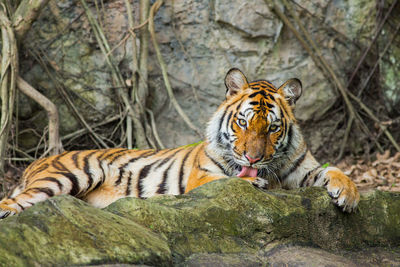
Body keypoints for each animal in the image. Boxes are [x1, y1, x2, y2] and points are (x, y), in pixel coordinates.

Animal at [0, 67, 360, 220]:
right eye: (243, 122)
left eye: (272, 128)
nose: (253, 159)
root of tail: (36, 161)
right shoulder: (202, 177)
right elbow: (234, 181)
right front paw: (256, 182)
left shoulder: (304, 169)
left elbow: (335, 171)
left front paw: (349, 195)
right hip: (70, 175)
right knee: (14, 201)